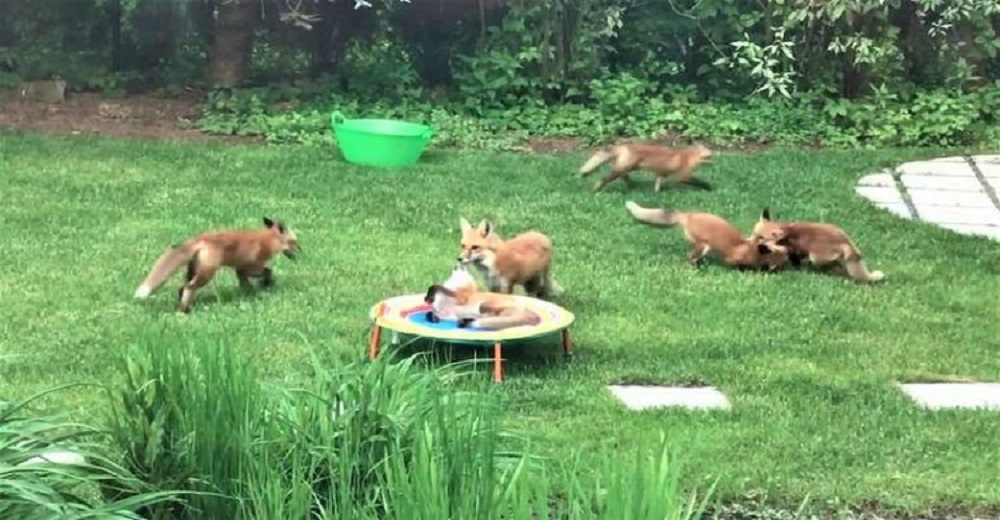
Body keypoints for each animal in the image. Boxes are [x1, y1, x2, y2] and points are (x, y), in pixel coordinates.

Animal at [132, 216, 300, 312]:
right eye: (294, 242)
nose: (302, 253)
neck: (267, 241)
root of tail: (199, 238)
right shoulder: (249, 266)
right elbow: (268, 271)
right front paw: (266, 285)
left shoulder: (240, 270)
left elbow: (246, 285)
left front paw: (249, 295)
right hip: (206, 274)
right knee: (189, 287)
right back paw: (184, 311)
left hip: (194, 272)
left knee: (182, 287)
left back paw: (183, 306)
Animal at [576, 140, 716, 193]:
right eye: (710, 154)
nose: (715, 158)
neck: (688, 156)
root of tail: (622, 145)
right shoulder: (682, 176)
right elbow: (699, 181)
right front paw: (708, 187)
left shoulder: (661, 173)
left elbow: (658, 184)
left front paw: (657, 193)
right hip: (623, 168)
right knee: (604, 179)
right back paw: (595, 190)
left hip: (626, 168)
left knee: (623, 176)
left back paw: (632, 186)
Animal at [624, 200, 788, 272]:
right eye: (757, 235)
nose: (751, 240)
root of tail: (688, 215)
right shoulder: (731, 259)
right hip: (703, 246)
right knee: (689, 258)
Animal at [748, 207, 888, 282]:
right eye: (754, 233)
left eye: (761, 238)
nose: (748, 240)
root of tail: (846, 241)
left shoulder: (794, 251)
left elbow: (795, 260)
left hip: (816, 256)